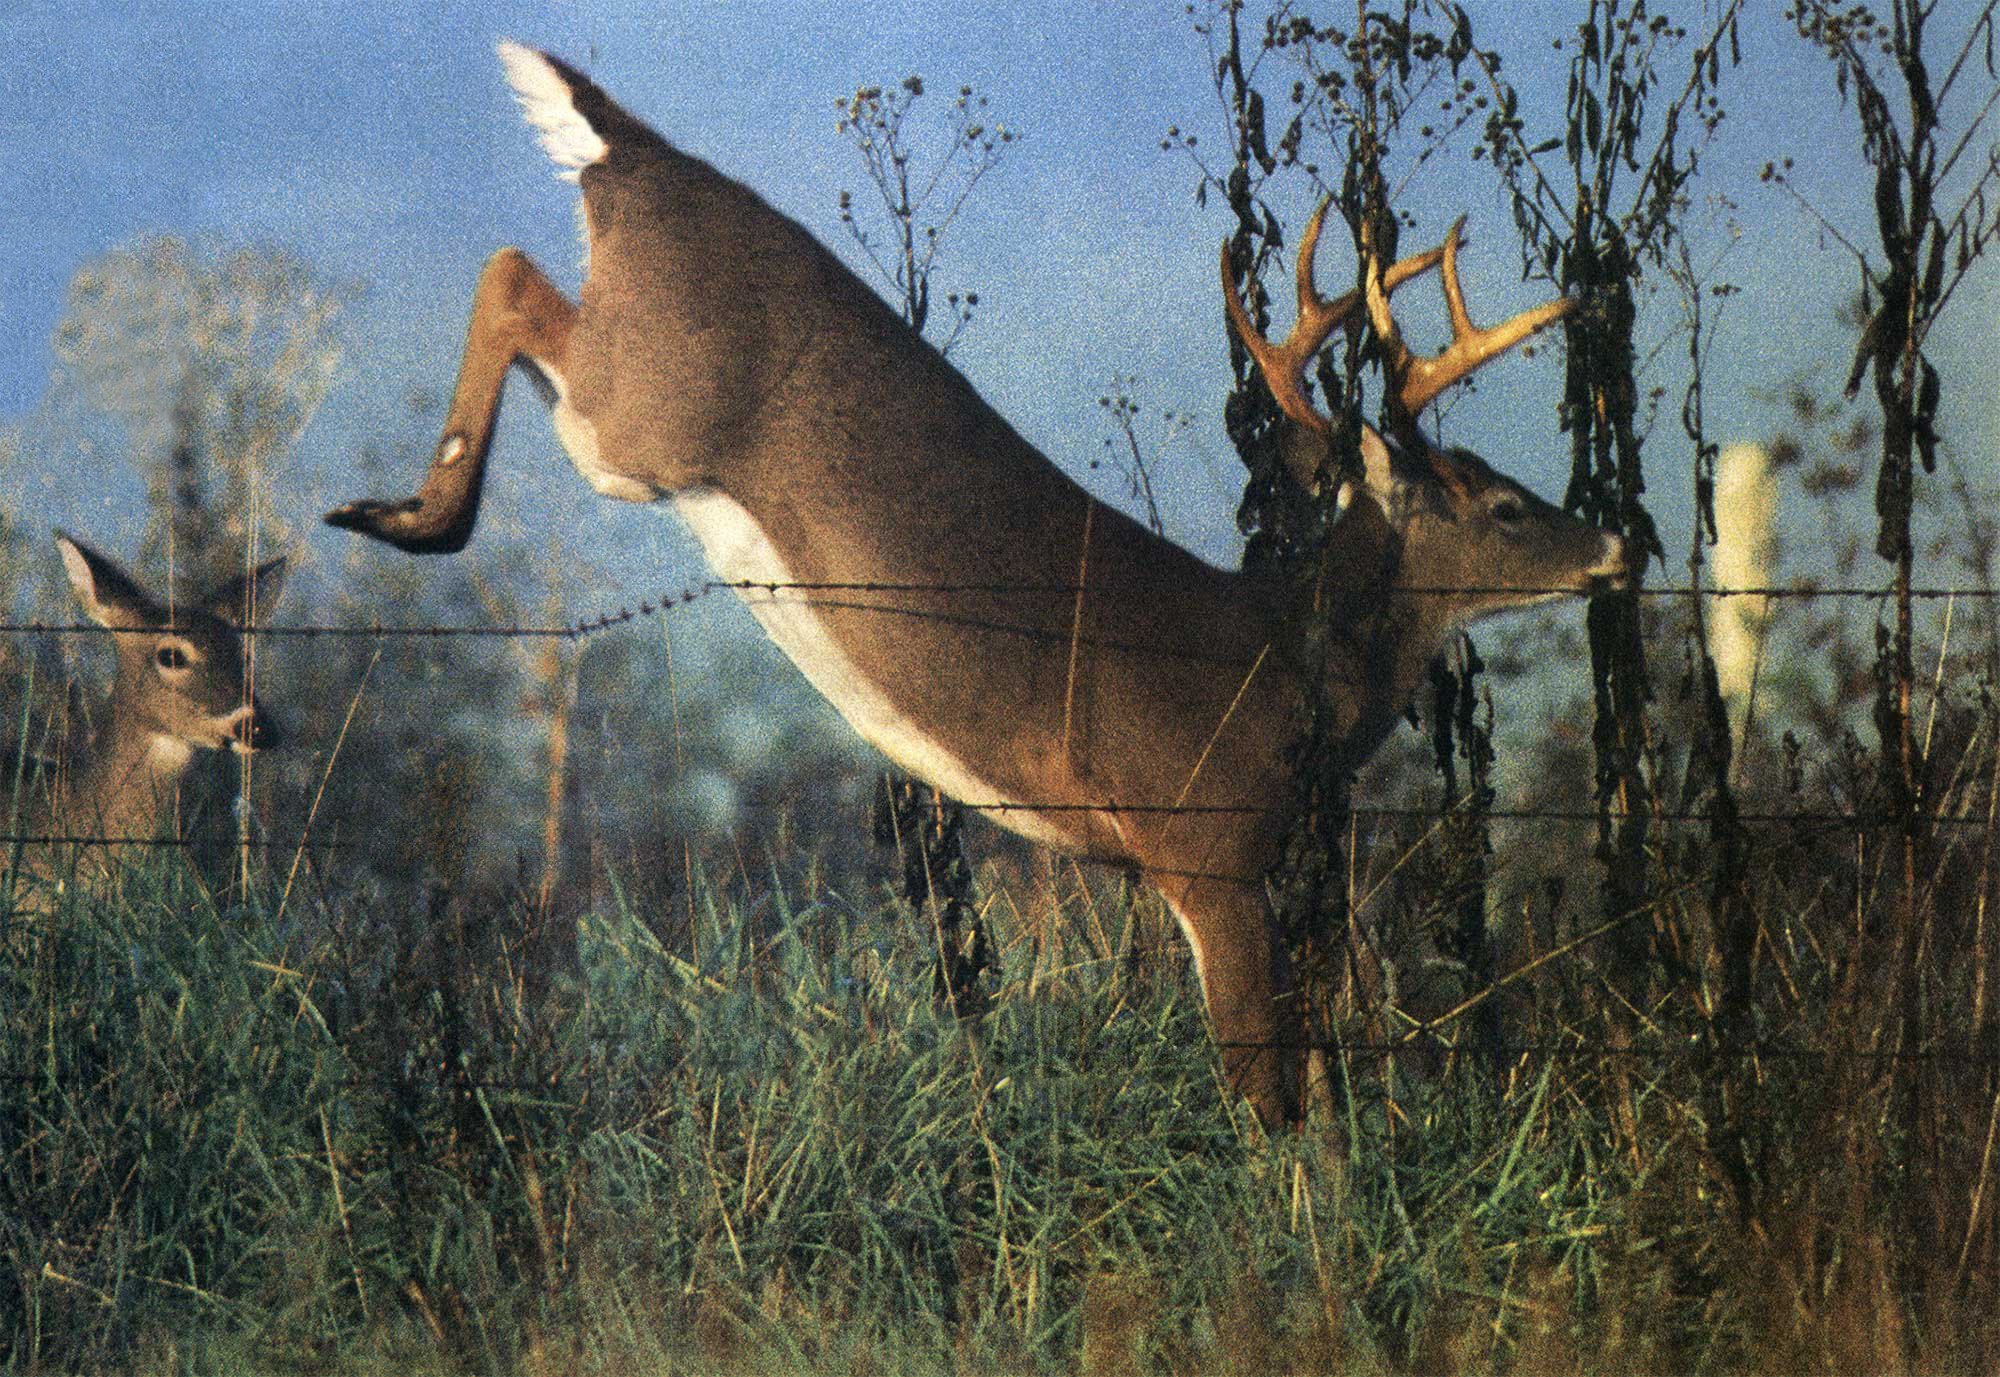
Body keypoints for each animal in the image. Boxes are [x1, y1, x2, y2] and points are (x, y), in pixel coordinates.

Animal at [324, 42, 1630, 1126]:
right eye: (1503, 506)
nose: (1620, 546)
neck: (1277, 666)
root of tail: (638, 152)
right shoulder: (1202, 842)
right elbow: (1269, 1104)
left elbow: (1313, 1087)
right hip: (638, 412)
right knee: (508, 274)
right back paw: (406, 516)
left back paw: (394, 512)